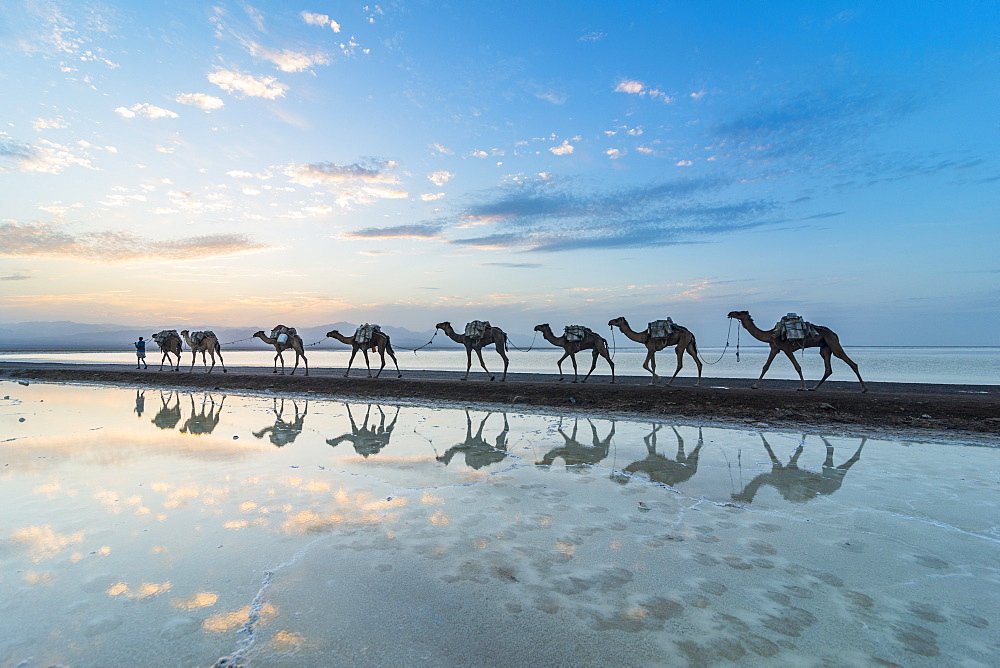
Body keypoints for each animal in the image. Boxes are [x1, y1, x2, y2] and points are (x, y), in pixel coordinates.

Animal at [728, 312, 868, 392]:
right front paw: (754, 385)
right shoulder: (775, 348)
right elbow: (765, 367)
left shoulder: (786, 348)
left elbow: (797, 367)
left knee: (851, 363)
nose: (730, 313)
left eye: (740, 313)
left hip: (833, 344)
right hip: (825, 348)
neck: (770, 335)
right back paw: (814, 388)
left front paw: (802, 386)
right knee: (828, 369)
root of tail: (834, 334)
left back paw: (864, 388)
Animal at [728, 434, 868, 500]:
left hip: (832, 473)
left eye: (740, 500)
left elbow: (767, 445)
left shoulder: (787, 468)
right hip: (829, 471)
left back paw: (864, 438)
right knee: (830, 452)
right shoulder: (785, 467)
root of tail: (838, 485)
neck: (771, 480)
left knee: (846, 461)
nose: (733, 495)